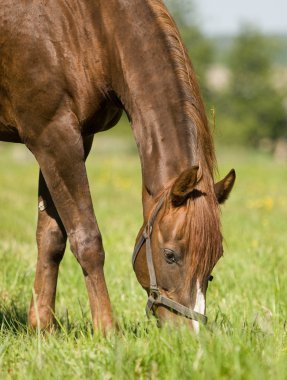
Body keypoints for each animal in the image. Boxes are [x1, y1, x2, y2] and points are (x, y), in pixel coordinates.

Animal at [0, 0, 235, 332]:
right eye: (170, 255)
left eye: (213, 262)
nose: (188, 334)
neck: (91, 25)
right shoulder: (53, 135)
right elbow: (87, 239)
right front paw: (107, 330)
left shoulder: (70, 140)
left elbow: (51, 238)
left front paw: (42, 329)